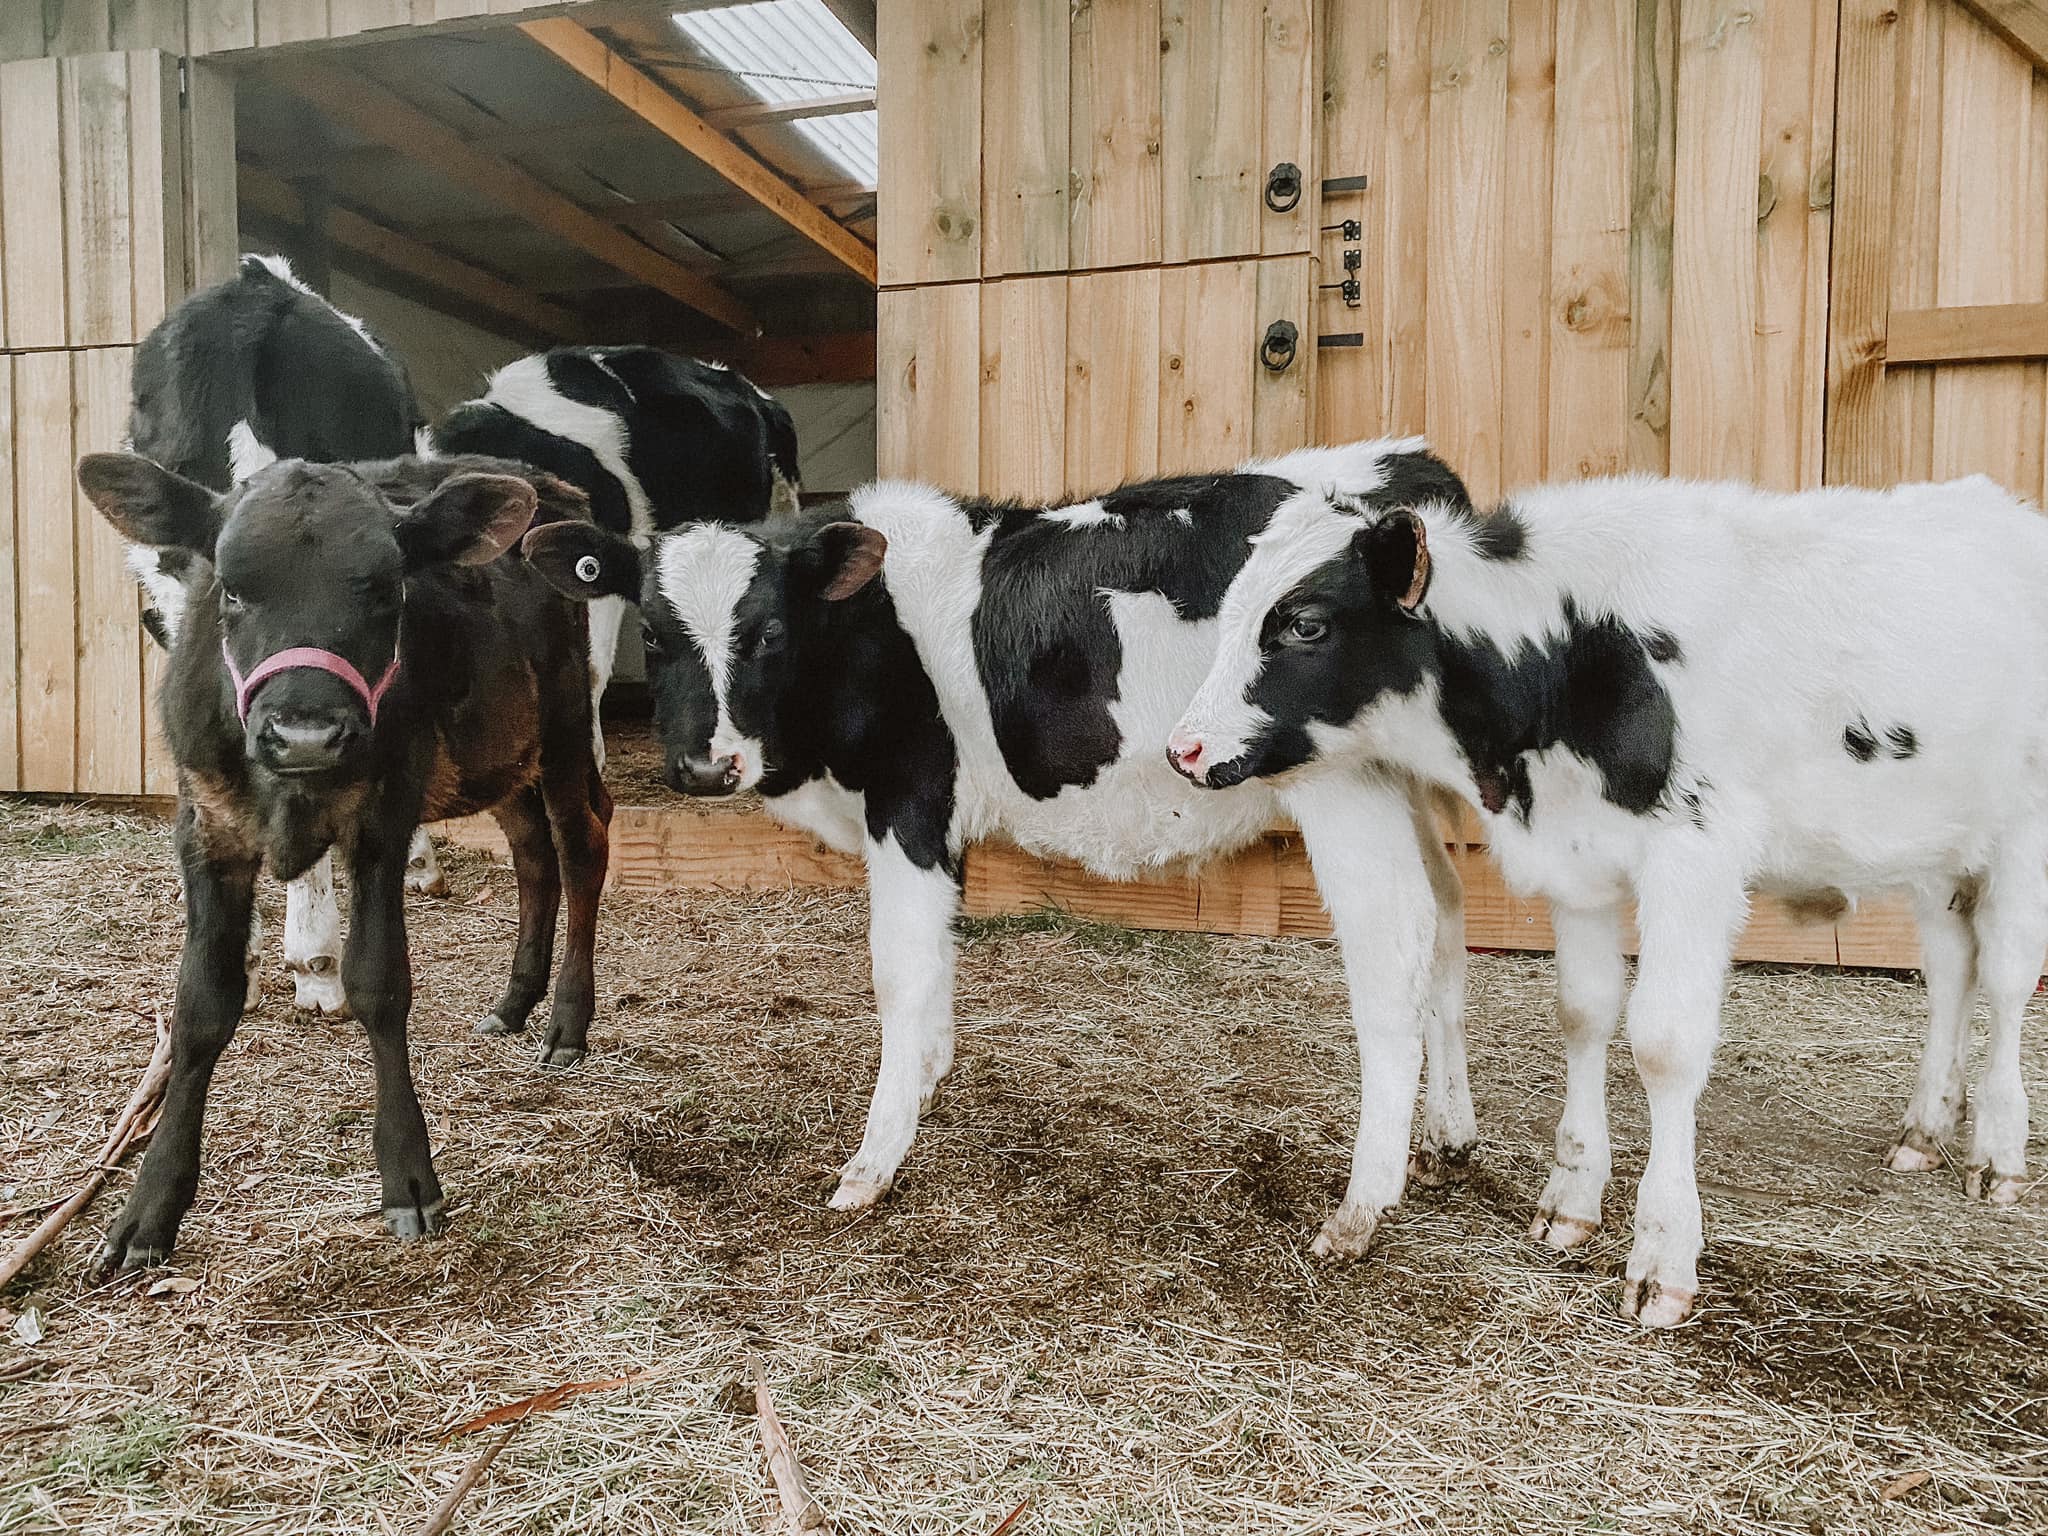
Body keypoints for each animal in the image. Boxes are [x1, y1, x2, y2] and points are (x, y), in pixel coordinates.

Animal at [78, 449, 611, 1270]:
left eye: (388, 587)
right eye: (232, 588)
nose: (306, 733)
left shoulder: (384, 819)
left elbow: (378, 982)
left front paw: (409, 1178)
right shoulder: (205, 828)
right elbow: (201, 1002)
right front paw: (149, 1209)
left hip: (562, 722)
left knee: (581, 847)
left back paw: (565, 1023)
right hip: (497, 754)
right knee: (532, 857)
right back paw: (514, 1002)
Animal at [520, 441, 1481, 1246]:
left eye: (767, 633)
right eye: (652, 633)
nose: (703, 766)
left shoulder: (909, 797)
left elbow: (901, 969)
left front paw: (875, 1158)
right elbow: (939, 955)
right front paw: (926, 1075)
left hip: (1342, 785)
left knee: (1393, 948)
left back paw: (1362, 1207)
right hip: (1411, 783)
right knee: (1447, 919)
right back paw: (1452, 1132)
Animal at [1167, 471, 2048, 1326]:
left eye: (1306, 624)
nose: (1184, 749)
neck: (1578, 660)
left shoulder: (1696, 856)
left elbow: (1663, 1044)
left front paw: (1663, 1255)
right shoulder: (1576, 860)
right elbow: (1584, 1013)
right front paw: (1572, 1199)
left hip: (2023, 835)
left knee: (2007, 980)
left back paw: (1998, 1153)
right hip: (1939, 849)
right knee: (1951, 972)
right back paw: (1926, 1128)